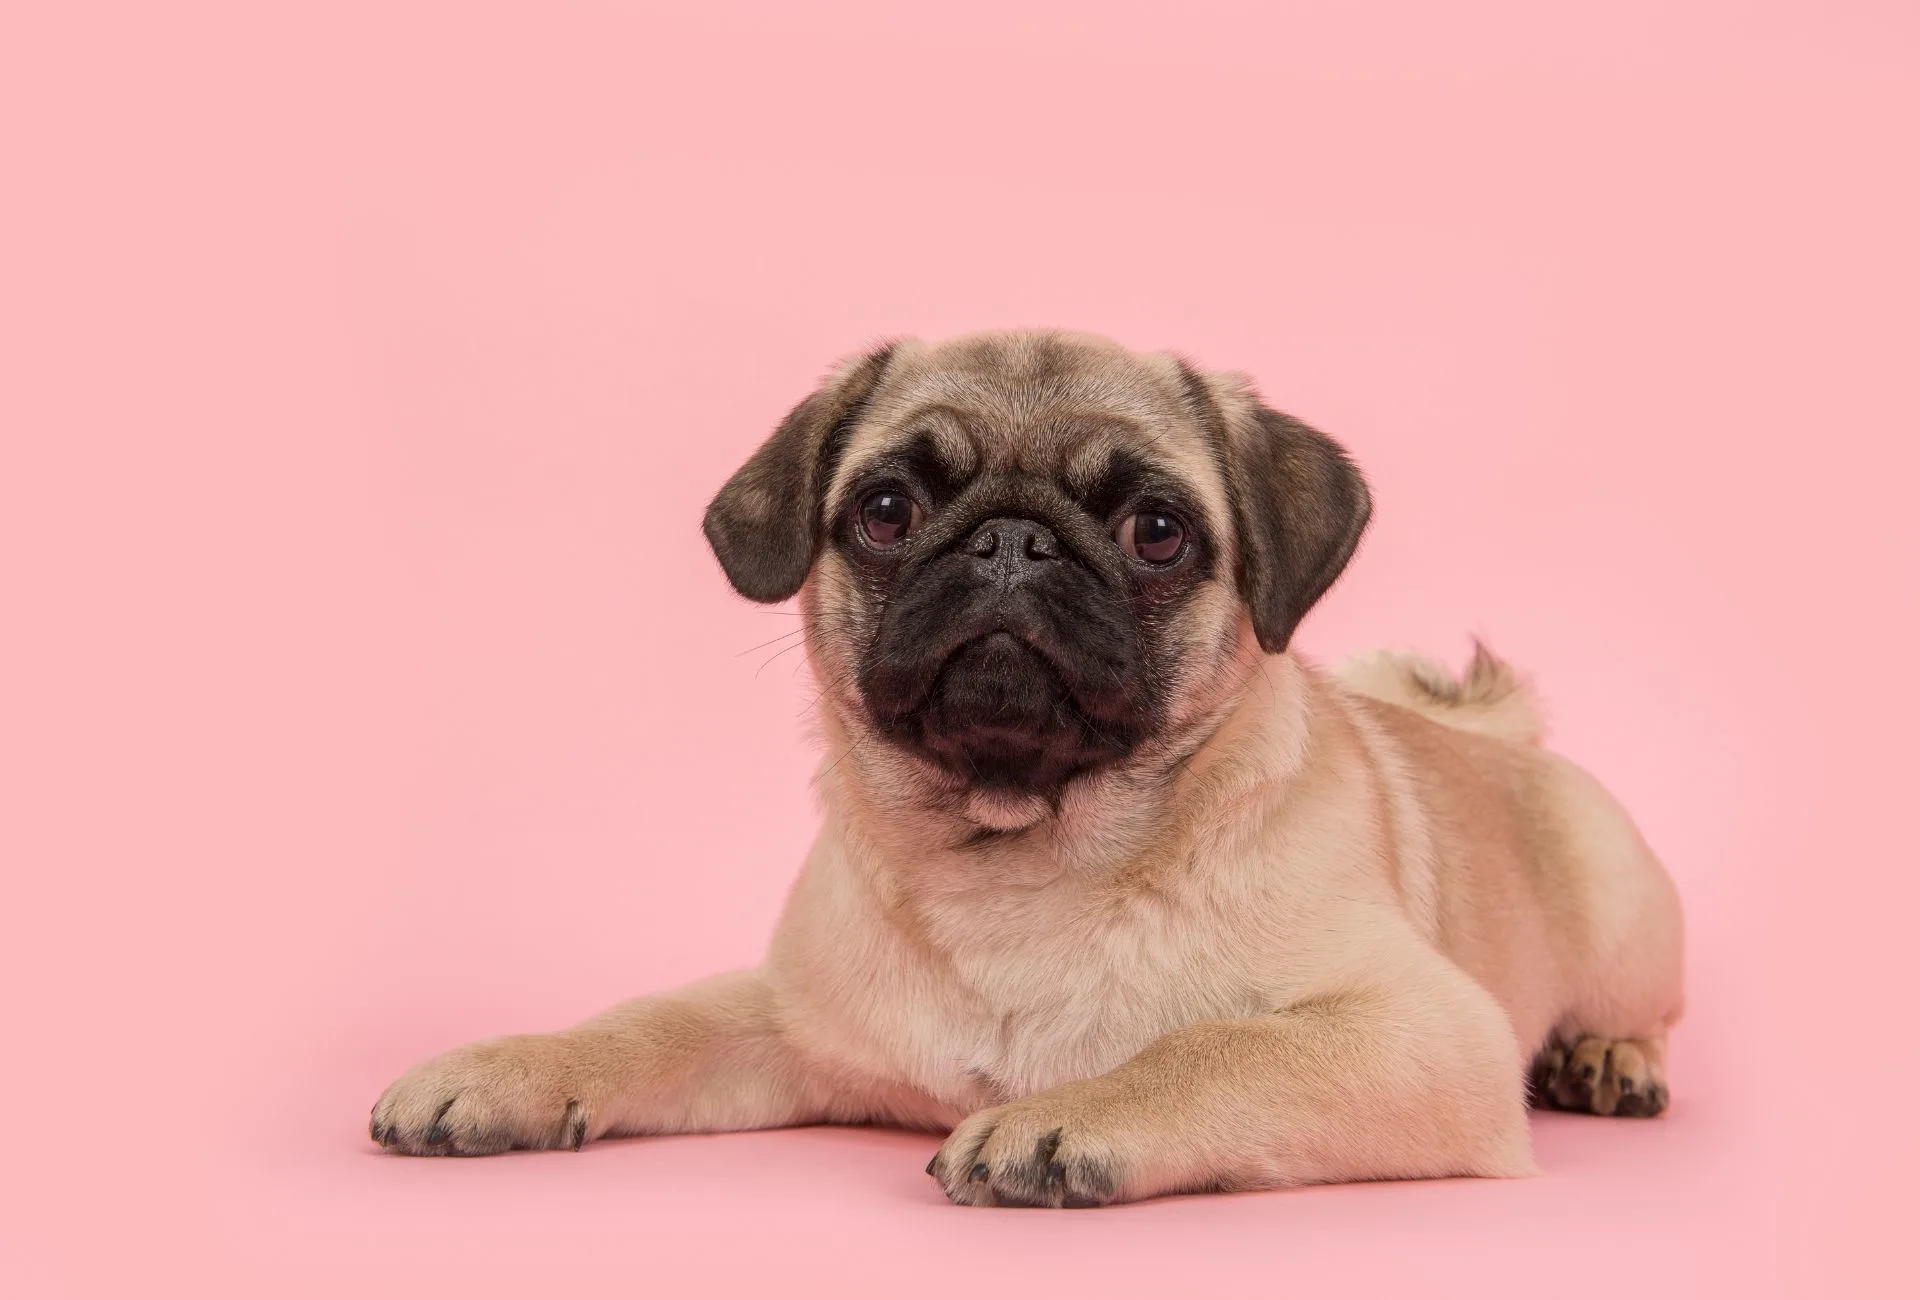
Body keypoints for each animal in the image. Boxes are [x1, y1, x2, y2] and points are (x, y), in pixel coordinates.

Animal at [370, 330, 1681, 1198]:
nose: (1013, 540)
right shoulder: (788, 1023)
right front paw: (507, 1069)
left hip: (1621, 909)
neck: (1018, 858)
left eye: (1158, 531)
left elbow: (1213, 1048)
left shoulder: (1422, 1033)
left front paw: (1062, 1120)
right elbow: (646, 1024)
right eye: (886, 510)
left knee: (1639, 1012)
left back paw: (1609, 1058)